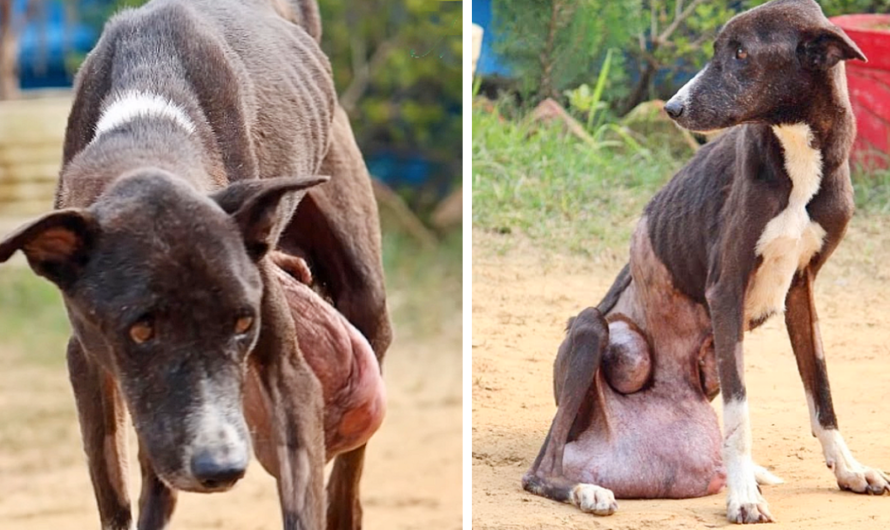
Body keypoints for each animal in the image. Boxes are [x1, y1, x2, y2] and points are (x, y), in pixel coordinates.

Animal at [0, 1, 392, 528]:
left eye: (243, 323)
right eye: (140, 329)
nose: (221, 468)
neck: (146, 132)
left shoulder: (288, 374)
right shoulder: (88, 363)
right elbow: (115, 495)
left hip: (365, 297)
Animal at [520, 0, 880, 520]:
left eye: (742, 53)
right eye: (719, 50)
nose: (671, 108)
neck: (795, 154)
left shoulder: (801, 288)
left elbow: (822, 390)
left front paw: (848, 468)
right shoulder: (725, 290)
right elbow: (739, 411)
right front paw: (744, 495)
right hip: (590, 327)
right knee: (539, 467)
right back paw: (586, 490)